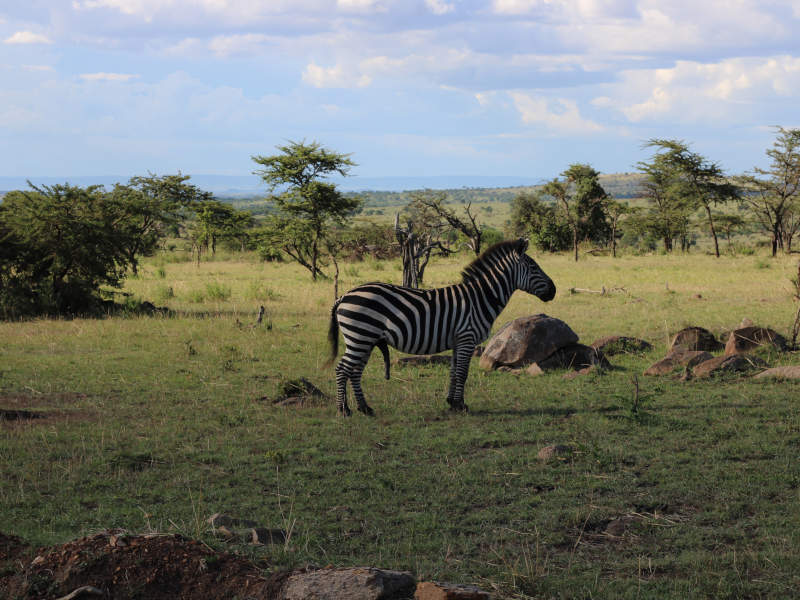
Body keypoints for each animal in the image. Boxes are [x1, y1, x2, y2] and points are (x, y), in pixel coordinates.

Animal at [324, 237, 556, 414]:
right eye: (534, 267)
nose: (553, 290)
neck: (481, 297)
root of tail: (343, 296)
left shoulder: (457, 340)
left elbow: (454, 371)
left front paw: (452, 403)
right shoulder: (467, 337)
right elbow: (462, 373)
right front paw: (461, 406)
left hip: (364, 339)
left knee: (354, 371)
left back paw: (365, 408)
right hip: (360, 337)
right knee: (342, 369)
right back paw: (344, 410)